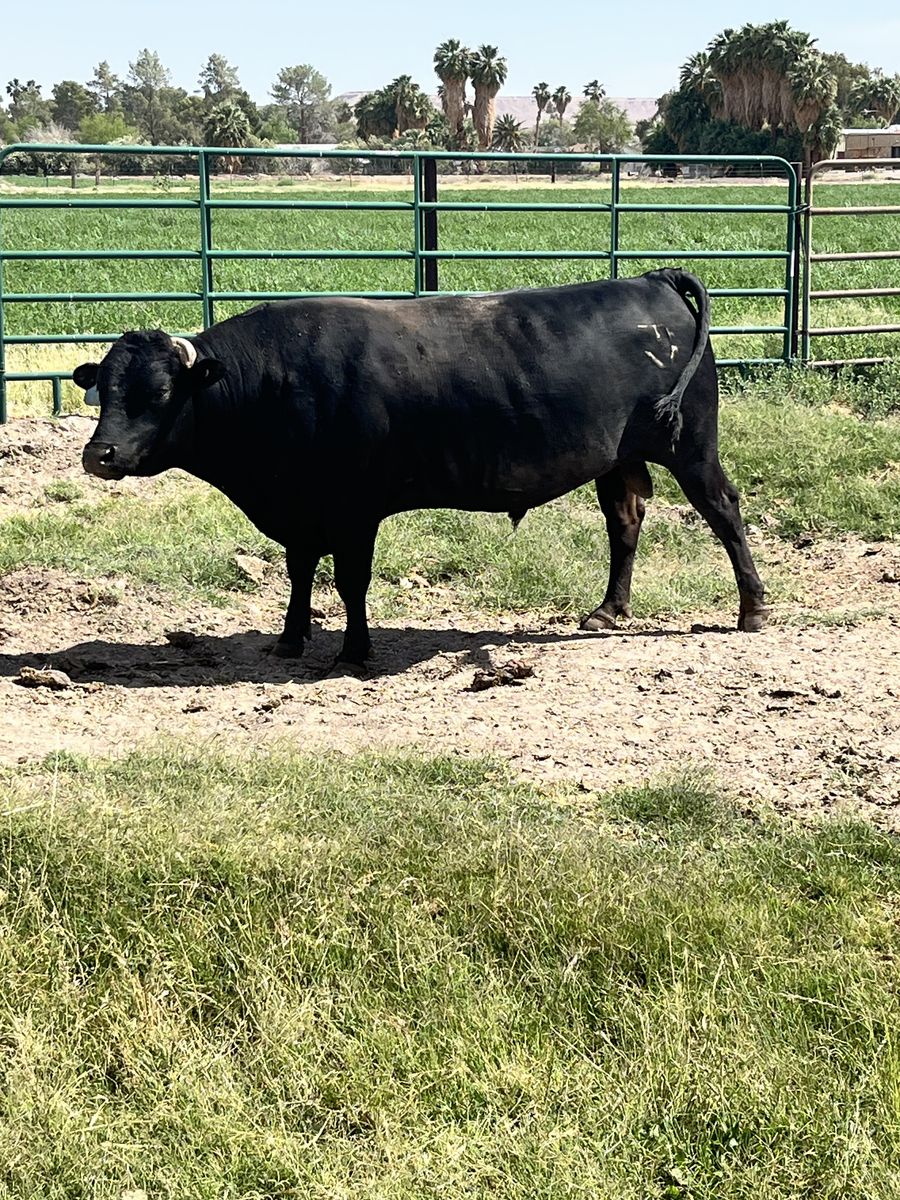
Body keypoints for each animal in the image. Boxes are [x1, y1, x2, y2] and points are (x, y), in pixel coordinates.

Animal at [73, 270, 768, 665]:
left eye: (161, 392)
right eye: (102, 387)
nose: (100, 454)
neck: (276, 381)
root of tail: (651, 280)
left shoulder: (353, 511)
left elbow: (349, 582)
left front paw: (354, 652)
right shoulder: (300, 510)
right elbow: (300, 573)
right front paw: (291, 638)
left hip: (692, 448)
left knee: (724, 512)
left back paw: (752, 610)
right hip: (619, 460)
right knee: (625, 521)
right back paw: (609, 610)